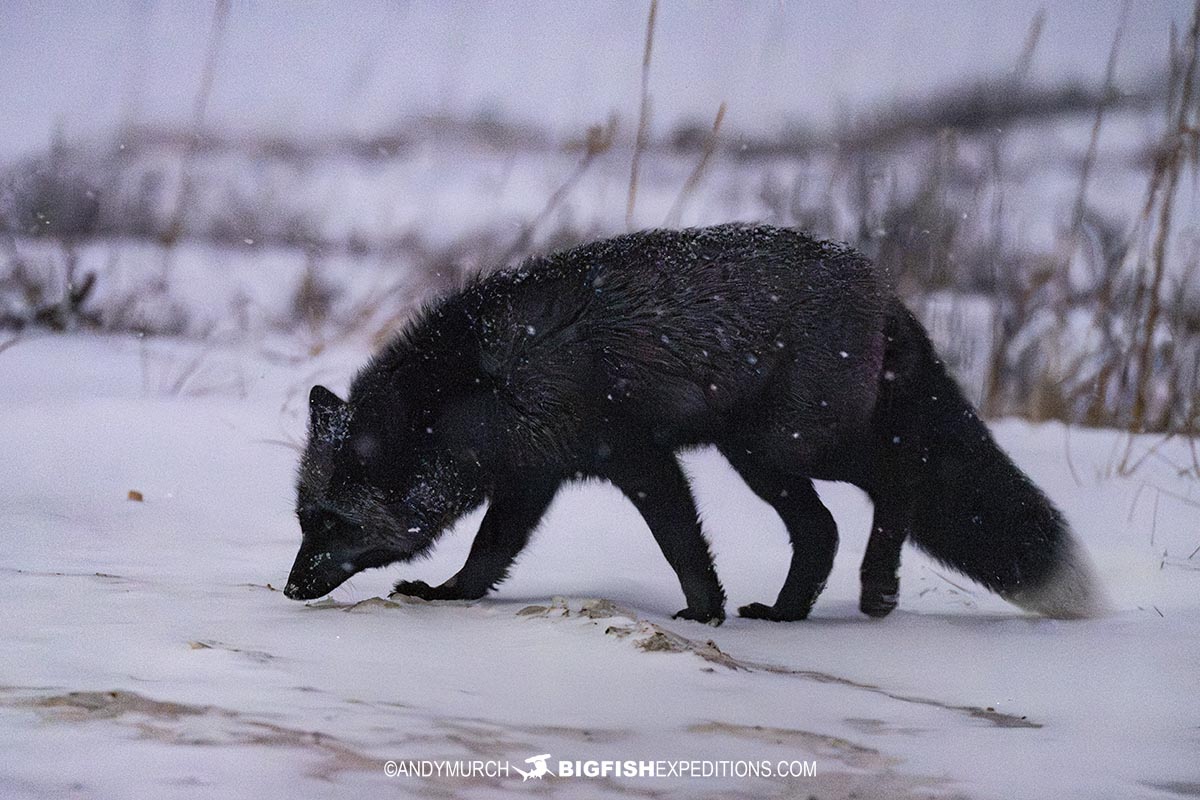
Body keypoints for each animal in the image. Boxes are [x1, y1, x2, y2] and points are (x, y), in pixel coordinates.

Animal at [280, 221, 1104, 623]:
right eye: (303, 519)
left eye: (333, 522)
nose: (289, 589)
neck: (487, 380)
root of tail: (881, 285)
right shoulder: (533, 477)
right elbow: (489, 554)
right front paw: (449, 596)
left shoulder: (637, 459)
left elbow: (680, 542)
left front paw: (704, 616)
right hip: (765, 458)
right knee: (823, 529)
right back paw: (788, 614)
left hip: (786, 446)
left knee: (895, 477)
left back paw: (877, 591)